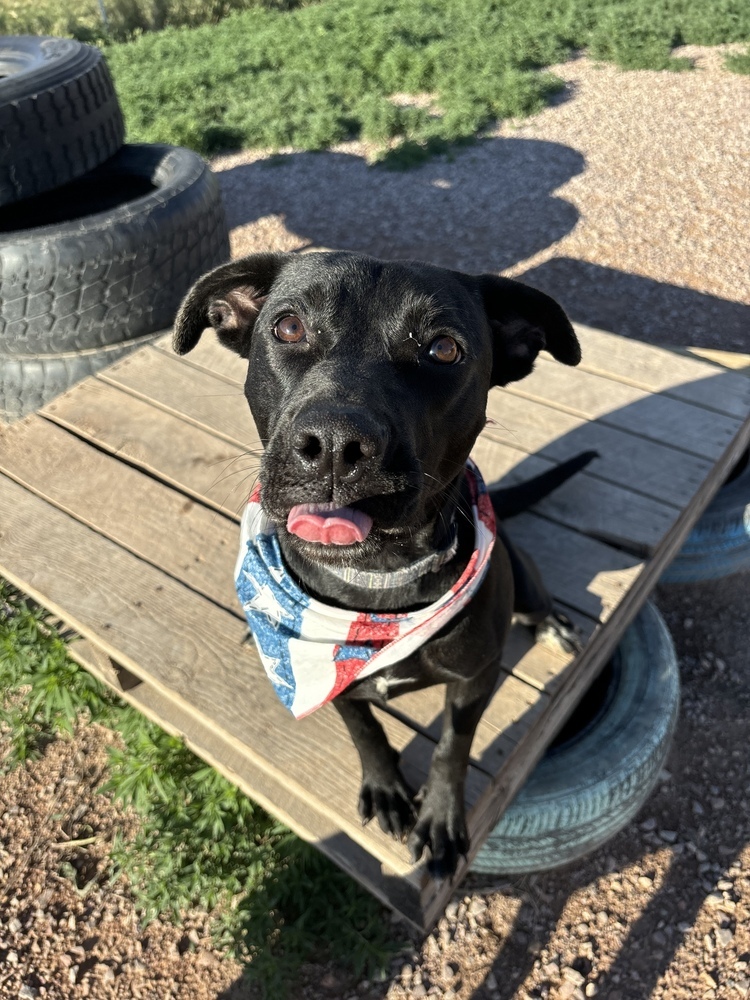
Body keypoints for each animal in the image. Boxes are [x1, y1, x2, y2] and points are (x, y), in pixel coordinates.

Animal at [173, 250, 596, 876]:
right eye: (288, 327)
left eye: (443, 348)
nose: (333, 443)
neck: (375, 581)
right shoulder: (337, 684)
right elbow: (365, 728)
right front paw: (386, 787)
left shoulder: (475, 679)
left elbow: (452, 747)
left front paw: (440, 818)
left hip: (519, 568)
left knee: (536, 596)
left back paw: (552, 624)